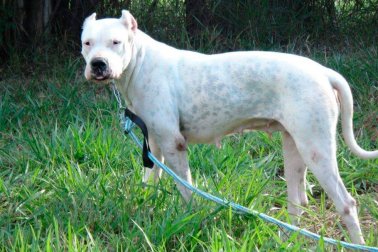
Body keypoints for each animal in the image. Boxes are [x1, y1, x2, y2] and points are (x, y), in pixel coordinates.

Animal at [81, 10, 376, 244]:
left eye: (116, 42)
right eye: (87, 43)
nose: (98, 64)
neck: (139, 62)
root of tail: (324, 72)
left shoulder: (173, 144)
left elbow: (186, 190)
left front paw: (190, 218)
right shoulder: (153, 143)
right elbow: (150, 182)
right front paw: (147, 207)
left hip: (316, 149)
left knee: (346, 204)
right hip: (295, 147)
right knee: (297, 202)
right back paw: (285, 240)